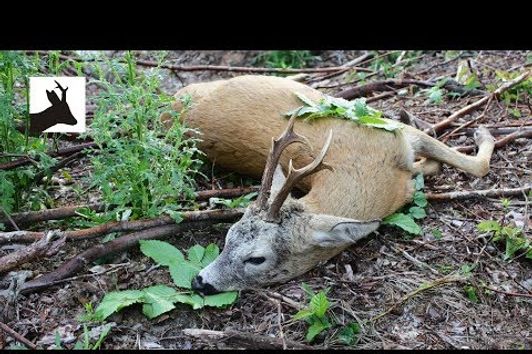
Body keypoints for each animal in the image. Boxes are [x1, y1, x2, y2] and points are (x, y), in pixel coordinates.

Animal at [162, 74, 494, 294]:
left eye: (257, 259)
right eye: (227, 238)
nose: (199, 282)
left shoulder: (396, 134)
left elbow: (475, 166)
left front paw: (480, 134)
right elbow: (463, 166)